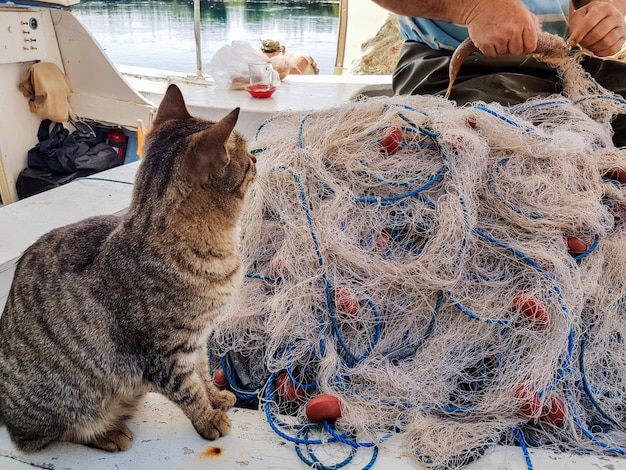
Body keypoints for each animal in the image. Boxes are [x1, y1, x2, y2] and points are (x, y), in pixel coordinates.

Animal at [0, 84, 256, 452]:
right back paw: (107, 432)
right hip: (68, 397)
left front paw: (216, 397)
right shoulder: (163, 356)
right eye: (246, 157)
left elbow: (204, 373)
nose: (257, 159)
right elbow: (188, 390)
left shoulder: (198, 340)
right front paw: (207, 418)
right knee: (50, 434)